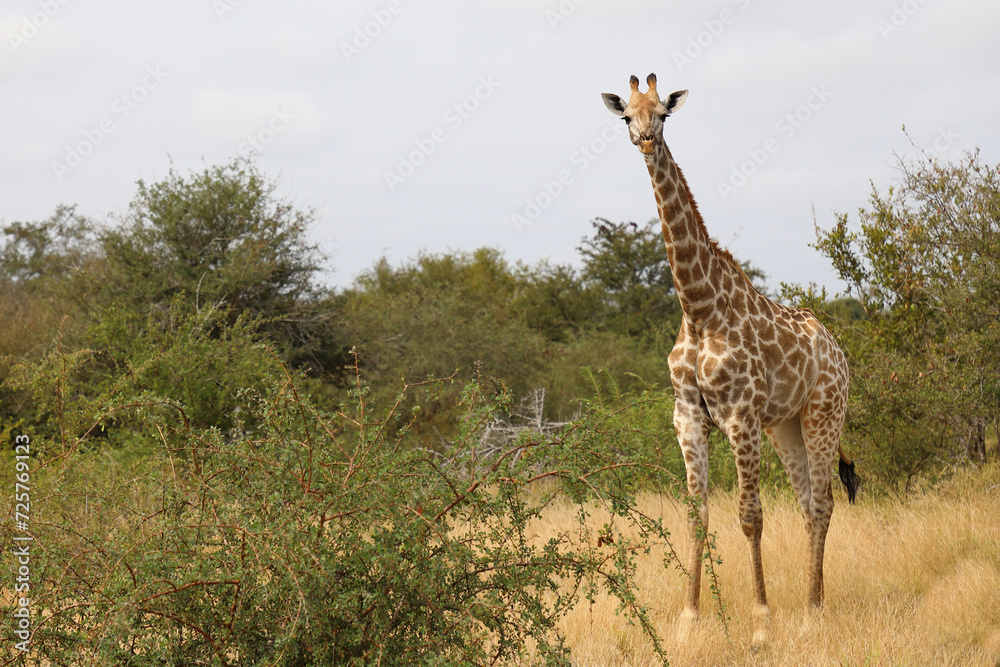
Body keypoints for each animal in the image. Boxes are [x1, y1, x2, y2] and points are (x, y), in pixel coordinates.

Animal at [601, 73, 859, 643]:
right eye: (627, 114)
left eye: (664, 113)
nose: (646, 140)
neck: (698, 307)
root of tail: (835, 348)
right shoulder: (688, 416)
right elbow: (697, 516)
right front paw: (688, 619)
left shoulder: (740, 414)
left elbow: (749, 514)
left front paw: (761, 621)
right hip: (784, 425)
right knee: (808, 504)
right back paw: (809, 604)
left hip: (823, 413)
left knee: (824, 501)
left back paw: (813, 610)